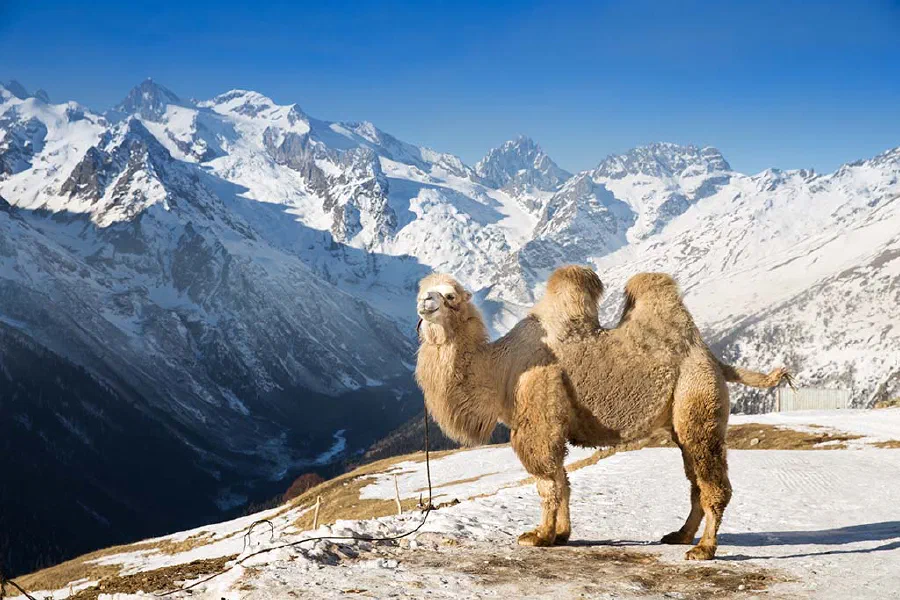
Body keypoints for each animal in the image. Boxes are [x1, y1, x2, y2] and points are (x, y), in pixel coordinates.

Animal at [414, 267, 791, 560]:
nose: (424, 303)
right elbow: (563, 480)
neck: (500, 369)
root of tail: (713, 358)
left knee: (712, 480)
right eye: (423, 289)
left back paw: (703, 549)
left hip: (697, 395)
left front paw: (539, 536)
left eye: (451, 296)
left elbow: (547, 481)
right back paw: (680, 536)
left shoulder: (538, 412)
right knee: (695, 480)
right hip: (684, 416)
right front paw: (561, 535)